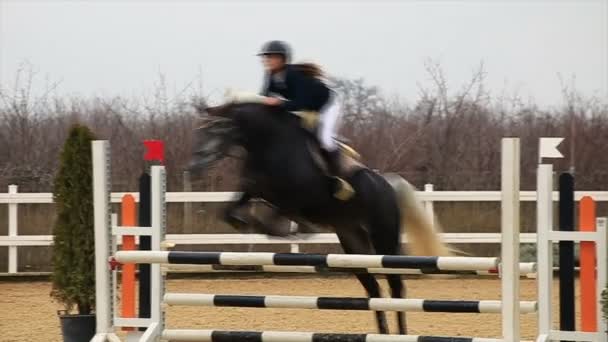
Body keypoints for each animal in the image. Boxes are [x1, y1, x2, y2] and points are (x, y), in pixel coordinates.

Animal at [190, 99, 452, 334]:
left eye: (220, 129)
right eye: (201, 131)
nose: (196, 164)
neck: (270, 144)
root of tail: (388, 185)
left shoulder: (297, 195)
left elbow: (282, 211)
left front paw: (292, 228)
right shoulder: (254, 187)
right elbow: (232, 209)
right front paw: (246, 222)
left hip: (383, 239)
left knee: (396, 287)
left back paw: (400, 332)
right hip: (353, 244)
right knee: (374, 289)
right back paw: (382, 332)